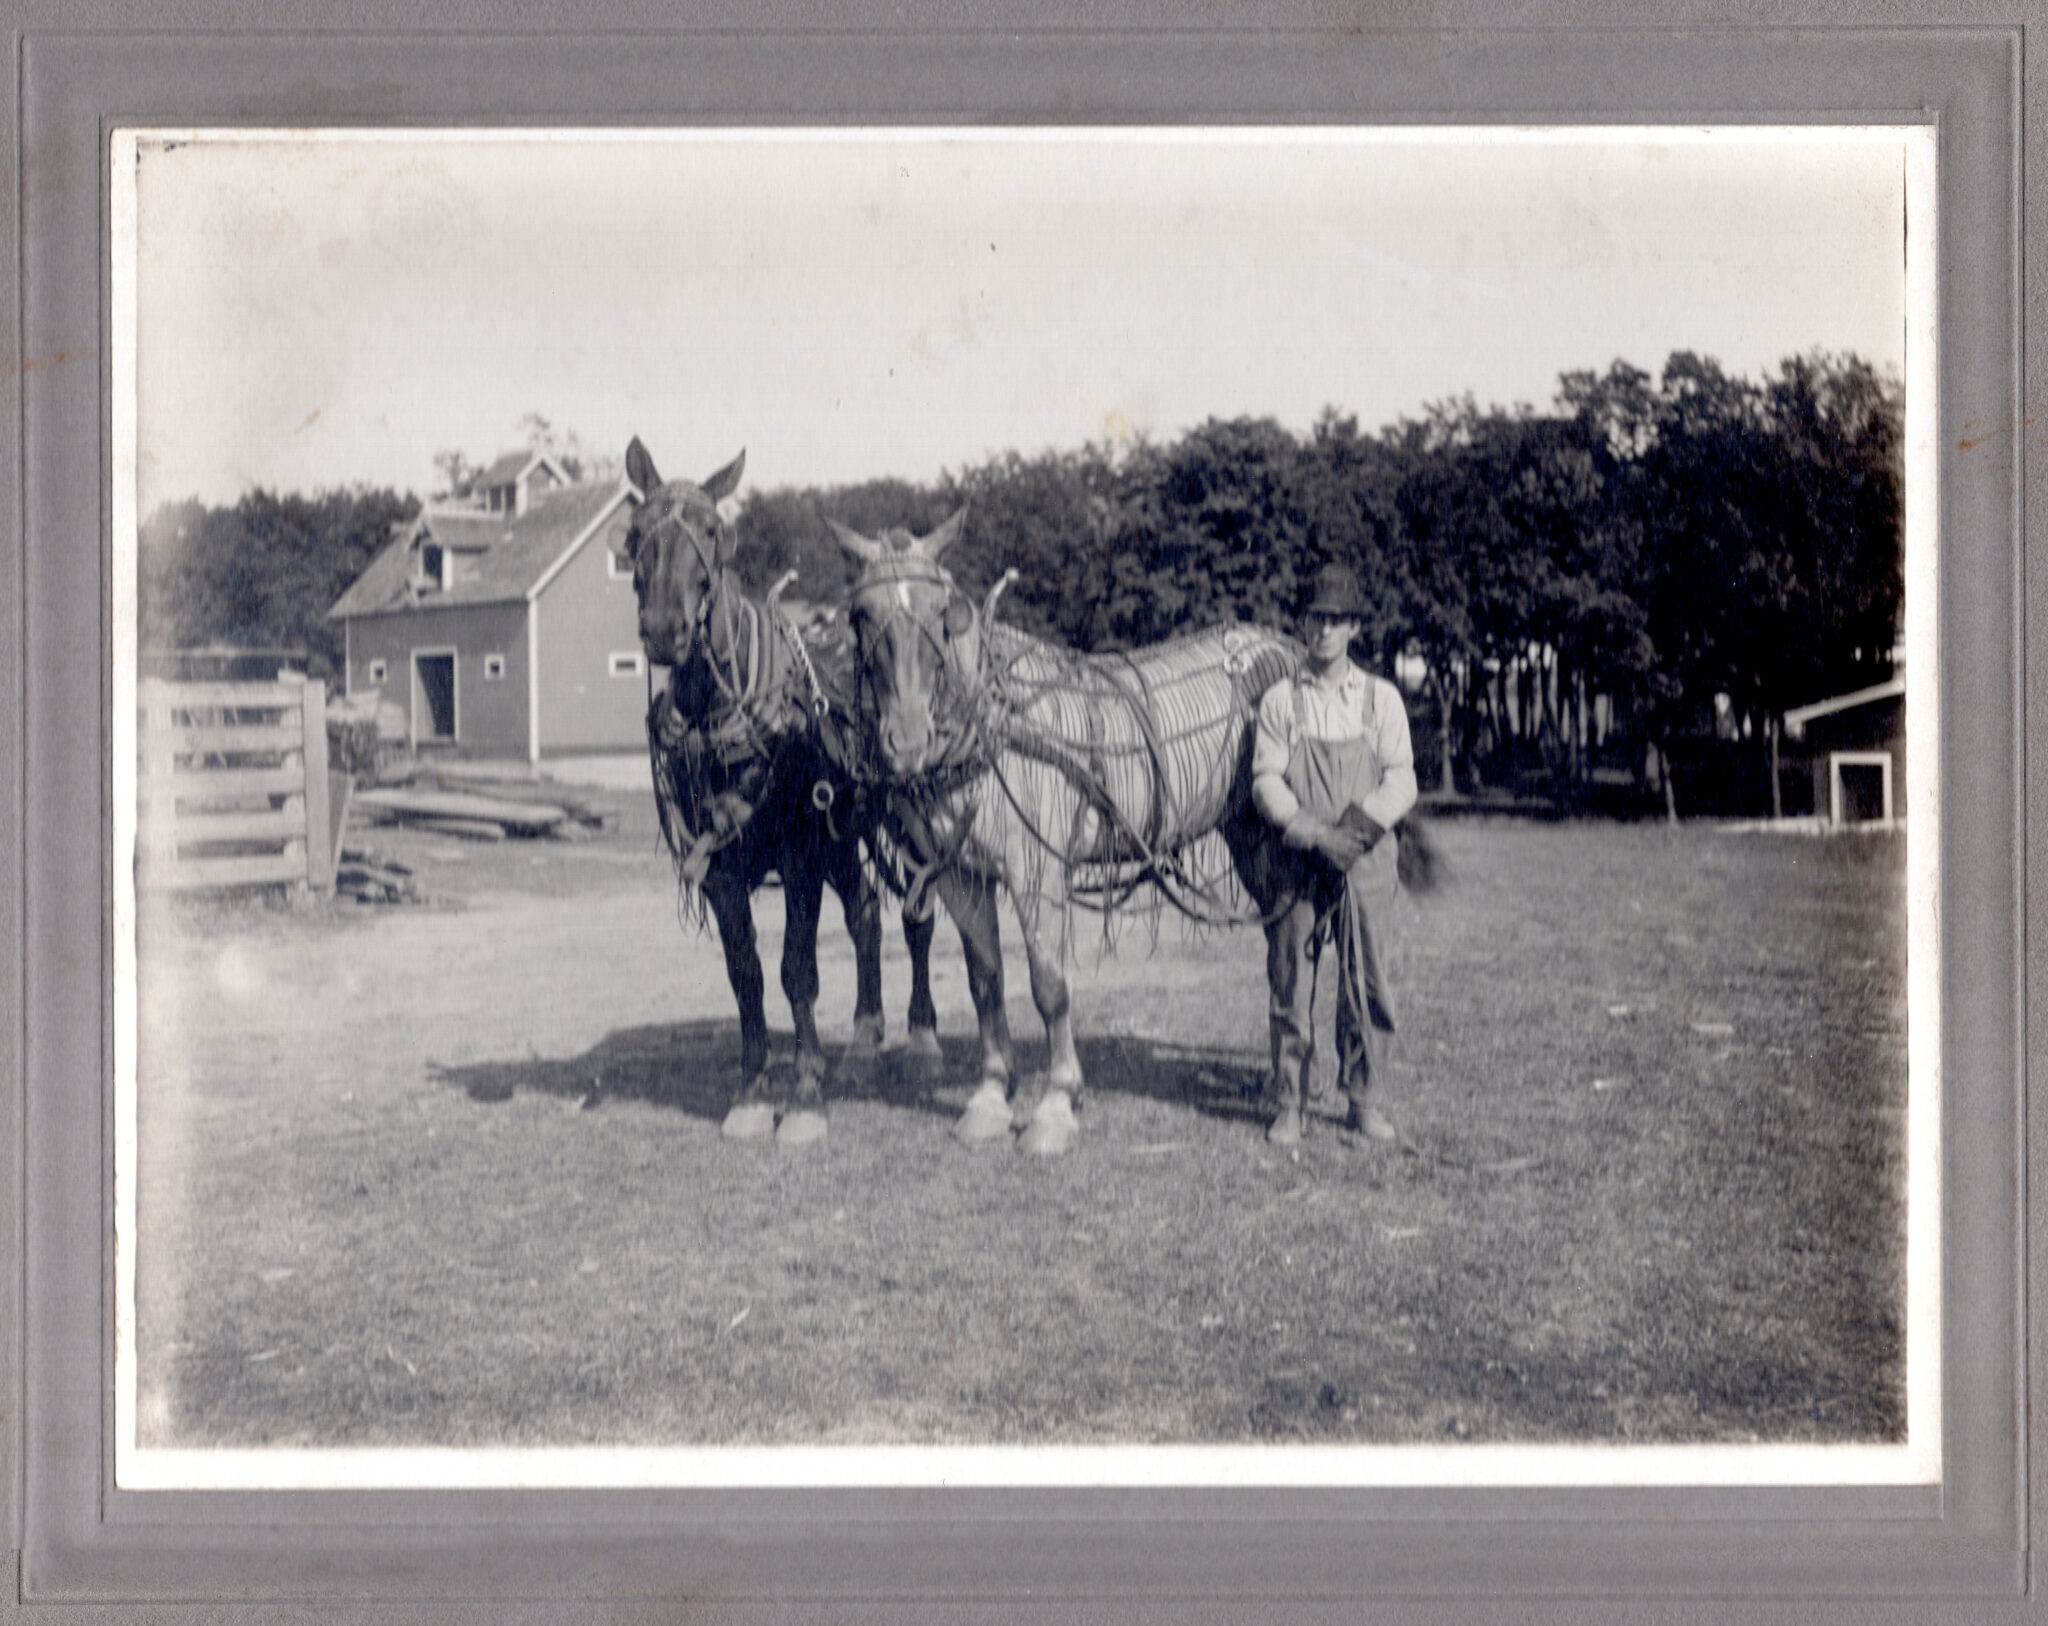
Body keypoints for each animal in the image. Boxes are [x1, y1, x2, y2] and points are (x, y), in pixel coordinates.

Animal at [618, 436, 937, 1146]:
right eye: (633, 535)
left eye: (714, 531)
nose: (664, 629)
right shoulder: (718, 865)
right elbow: (747, 975)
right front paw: (752, 1092)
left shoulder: (799, 857)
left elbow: (797, 972)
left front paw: (805, 1097)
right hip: (841, 837)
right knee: (866, 912)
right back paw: (864, 1039)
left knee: (918, 913)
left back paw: (921, 1032)